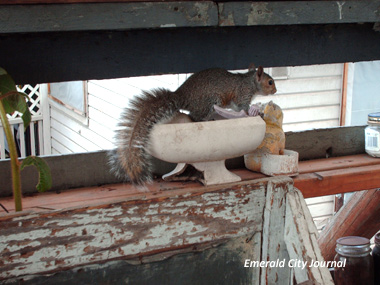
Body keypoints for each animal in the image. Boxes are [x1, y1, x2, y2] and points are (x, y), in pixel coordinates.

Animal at [109, 65, 276, 185]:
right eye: (270, 82)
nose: (275, 90)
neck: (250, 82)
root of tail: (181, 95)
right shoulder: (242, 94)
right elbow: (242, 108)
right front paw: (253, 112)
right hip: (210, 101)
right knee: (195, 117)